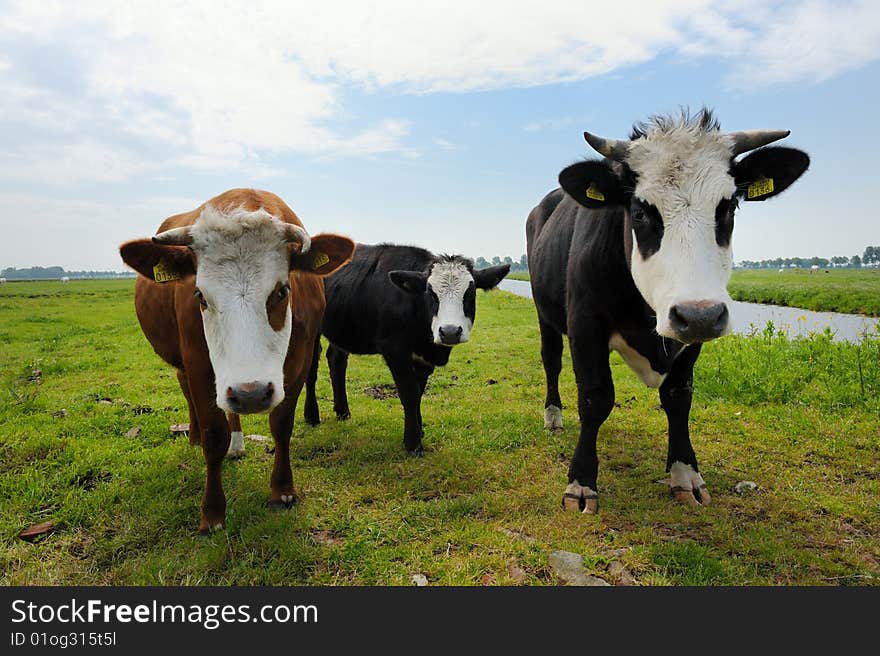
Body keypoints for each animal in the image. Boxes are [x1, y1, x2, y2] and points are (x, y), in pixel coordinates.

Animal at [118, 188, 356, 532]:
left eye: (282, 291)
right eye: (200, 296)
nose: (250, 394)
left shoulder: (298, 364)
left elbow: (281, 425)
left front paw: (283, 491)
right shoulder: (199, 366)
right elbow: (214, 436)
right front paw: (213, 513)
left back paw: (238, 442)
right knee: (187, 389)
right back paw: (197, 436)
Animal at [302, 243, 508, 454]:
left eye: (470, 293)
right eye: (430, 293)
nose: (449, 332)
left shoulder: (423, 358)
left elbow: (419, 391)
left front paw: (419, 428)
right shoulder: (394, 349)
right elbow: (409, 392)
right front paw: (413, 442)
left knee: (336, 360)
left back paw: (343, 411)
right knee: (311, 369)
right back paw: (312, 415)